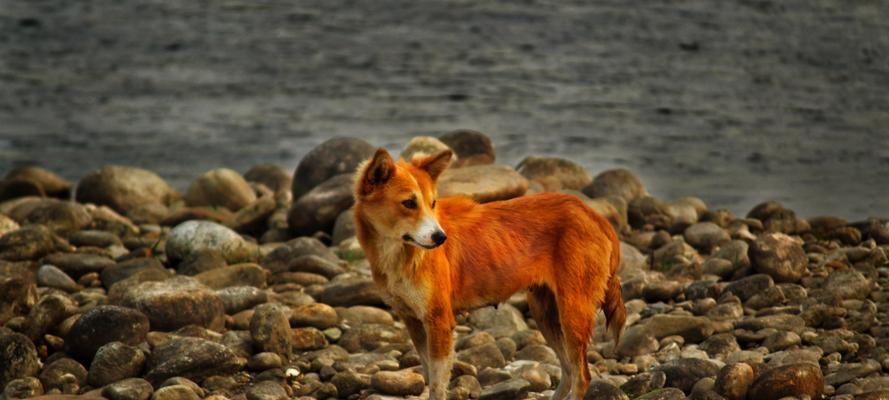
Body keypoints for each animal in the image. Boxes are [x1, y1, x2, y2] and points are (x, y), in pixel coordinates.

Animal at [352, 148, 624, 398]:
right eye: (409, 203)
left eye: (432, 203)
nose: (440, 238)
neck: (399, 253)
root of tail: (594, 215)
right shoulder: (413, 321)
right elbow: (430, 376)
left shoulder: (439, 321)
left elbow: (438, 386)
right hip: (544, 312)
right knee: (568, 371)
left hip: (572, 313)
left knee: (581, 376)